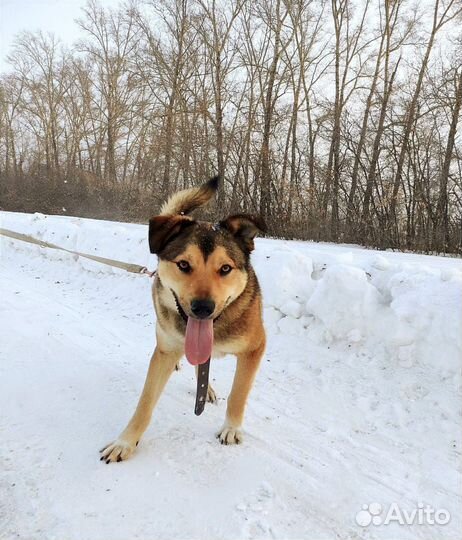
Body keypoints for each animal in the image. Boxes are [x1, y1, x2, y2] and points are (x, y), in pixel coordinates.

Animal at [101, 177, 268, 464]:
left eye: (225, 268)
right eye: (183, 265)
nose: (203, 308)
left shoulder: (255, 347)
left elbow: (238, 393)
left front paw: (231, 428)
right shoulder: (165, 353)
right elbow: (145, 403)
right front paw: (126, 442)